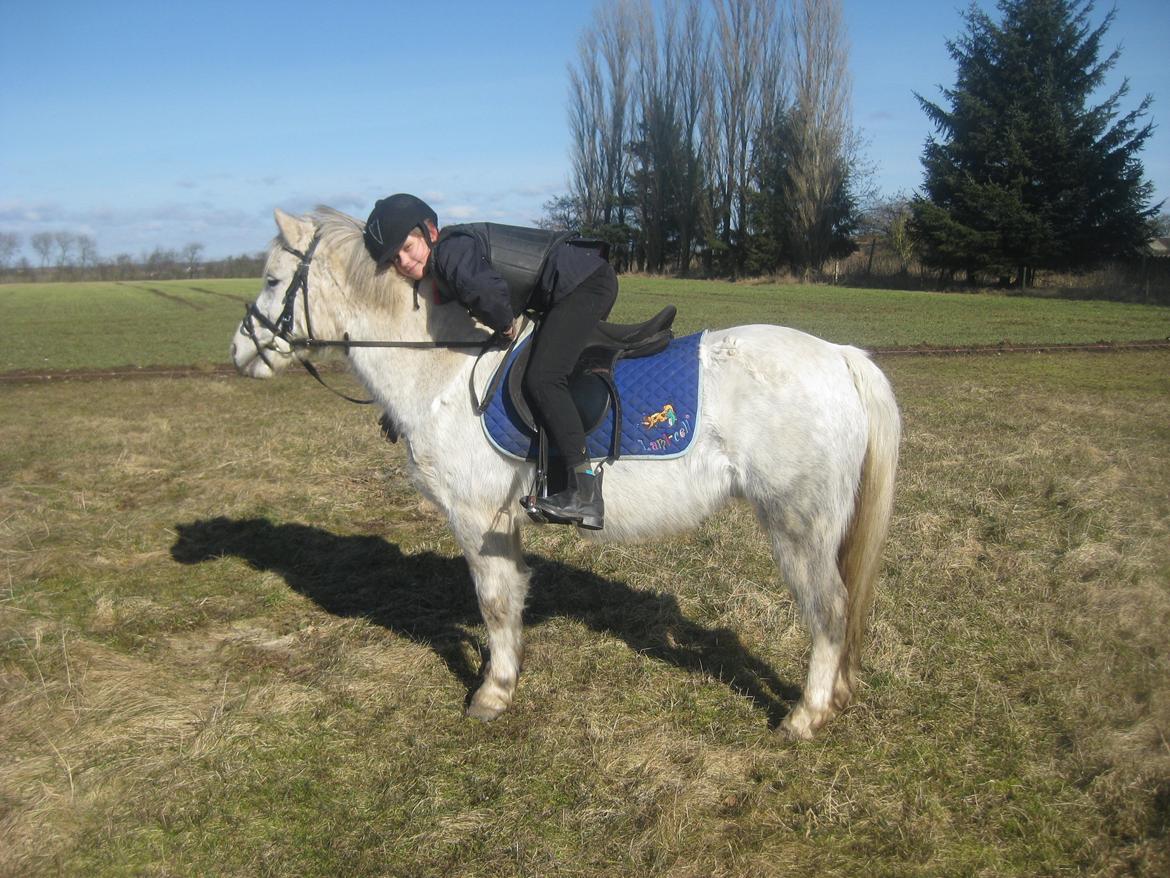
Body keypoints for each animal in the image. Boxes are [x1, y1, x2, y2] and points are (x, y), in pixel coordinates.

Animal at [230, 209, 903, 739]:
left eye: (271, 280)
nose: (239, 354)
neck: (444, 373)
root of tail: (841, 357)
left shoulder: (474, 518)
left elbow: (494, 602)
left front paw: (492, 693)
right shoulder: (501, 522)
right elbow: (511, 598)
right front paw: (503, 678)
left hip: (798, 524)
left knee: (830, 609)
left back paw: (805, 716)